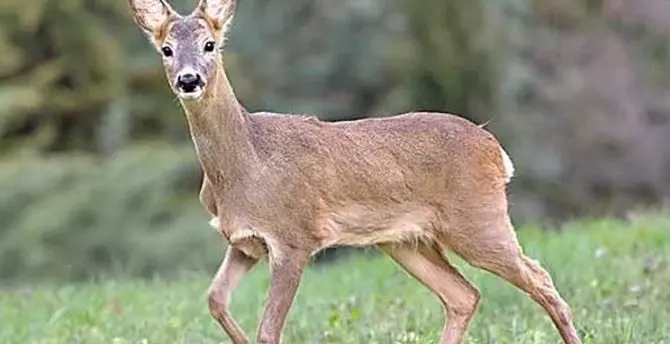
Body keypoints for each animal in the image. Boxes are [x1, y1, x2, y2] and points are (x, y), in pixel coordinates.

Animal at [127, 0, 584, 342]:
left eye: (210, 44)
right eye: (166, 49)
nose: (189, 80)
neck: (246, 165)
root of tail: (496, 151)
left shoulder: (294, 237)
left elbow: (268, 330)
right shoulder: (244, 242)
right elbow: (215, 300)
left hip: (476, 220)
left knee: (539, 278)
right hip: (405, 241)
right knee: (463, 295)